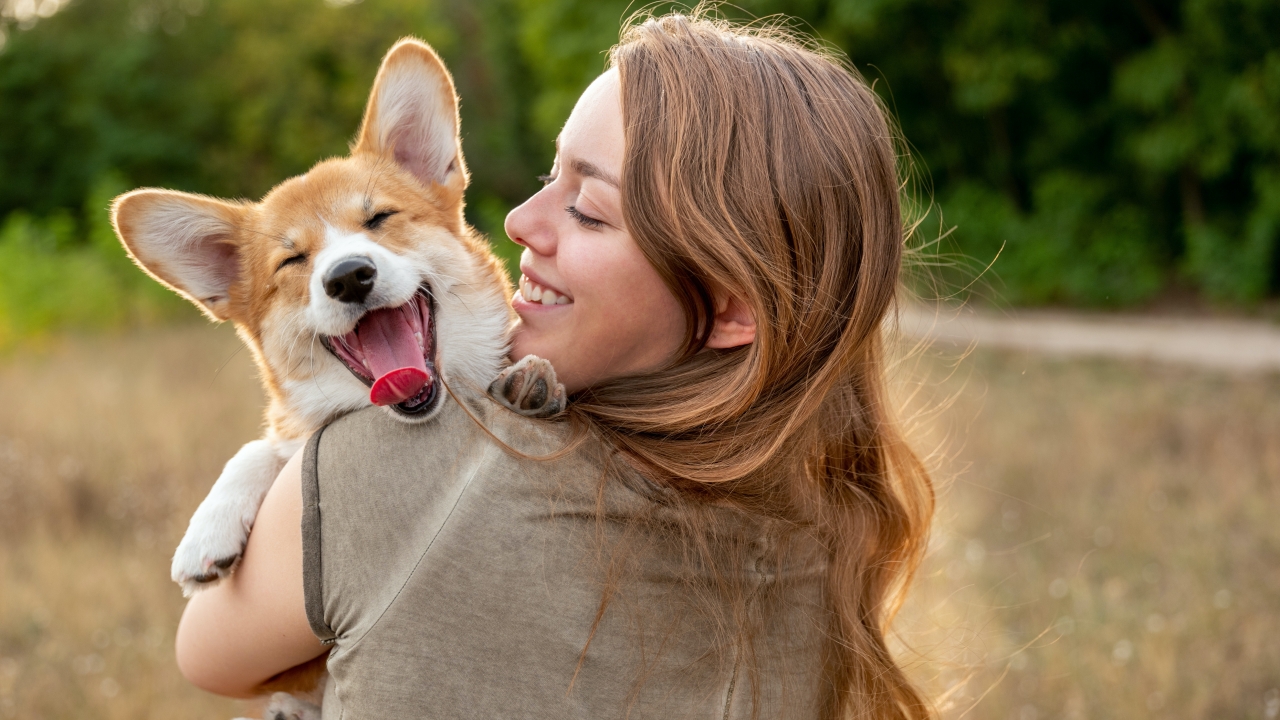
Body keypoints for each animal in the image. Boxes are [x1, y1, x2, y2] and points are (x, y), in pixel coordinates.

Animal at [111, 37, 565, 717]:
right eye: (293, 260)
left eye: (378, 219)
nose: (349, 276)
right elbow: (261, 448)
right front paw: (206, 534)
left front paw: (530, 376)